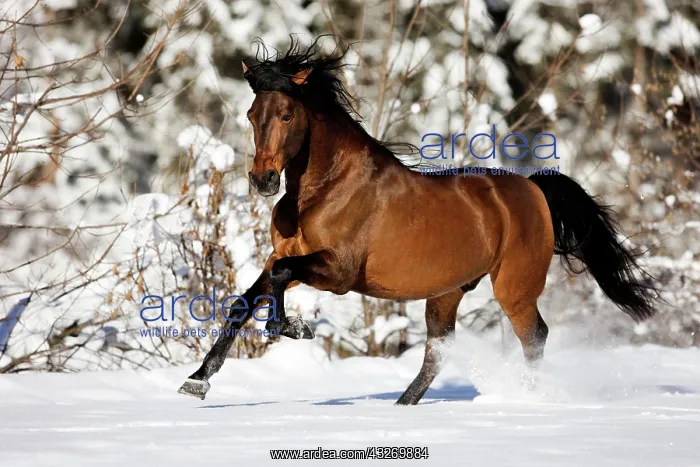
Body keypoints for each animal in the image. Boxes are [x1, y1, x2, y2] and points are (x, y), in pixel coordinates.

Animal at [178, 38, 657, 404]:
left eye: (287, 114)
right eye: (251, 115)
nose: (262, 180)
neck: (325, 190)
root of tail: (533, 189)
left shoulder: (338, 271)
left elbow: (278, 278)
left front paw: (292, 327)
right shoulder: (285, 255)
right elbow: (245, 300)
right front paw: (196, 381)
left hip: (514, 287)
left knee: (534, 337)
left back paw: (526, 396)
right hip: (447, 292)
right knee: (438, 350)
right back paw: (403, 405)